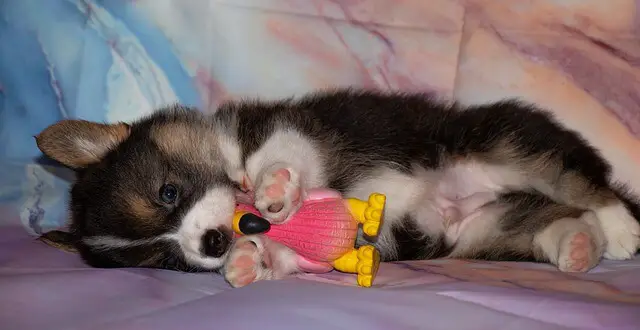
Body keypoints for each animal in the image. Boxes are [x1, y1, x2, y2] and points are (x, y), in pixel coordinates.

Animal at [36, 89, 640, 288]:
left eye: (169, 192)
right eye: (166, 259)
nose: (212, 243)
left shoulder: (292, 129)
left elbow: (279, 154)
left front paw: (275, 187)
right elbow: (283, 254)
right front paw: (249, 262)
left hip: (503, 142)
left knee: (583, 184)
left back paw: (620, 230)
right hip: (483, 231)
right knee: (550, 223)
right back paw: (578, 249)